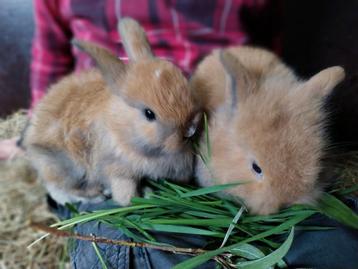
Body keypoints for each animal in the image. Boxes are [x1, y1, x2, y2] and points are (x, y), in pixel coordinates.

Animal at [22, 17, 201, 204]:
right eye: (149, 114)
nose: (191, 129)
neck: (120, 128)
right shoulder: (118, 171)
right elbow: (125, 192)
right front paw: (133, 202)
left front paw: (148, 192)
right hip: (63, 166)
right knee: (60, 191)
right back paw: (96, 196)